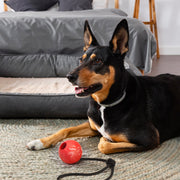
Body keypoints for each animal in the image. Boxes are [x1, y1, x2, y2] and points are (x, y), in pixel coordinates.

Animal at [27, 19, 180, 154]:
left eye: (98, 61)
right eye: (81, 59)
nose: (69, 77)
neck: (105, 104)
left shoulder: (150, 138)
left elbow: (103, 145)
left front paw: (106, 140)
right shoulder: (92, 126)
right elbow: (66, 129)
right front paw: (40, 142)